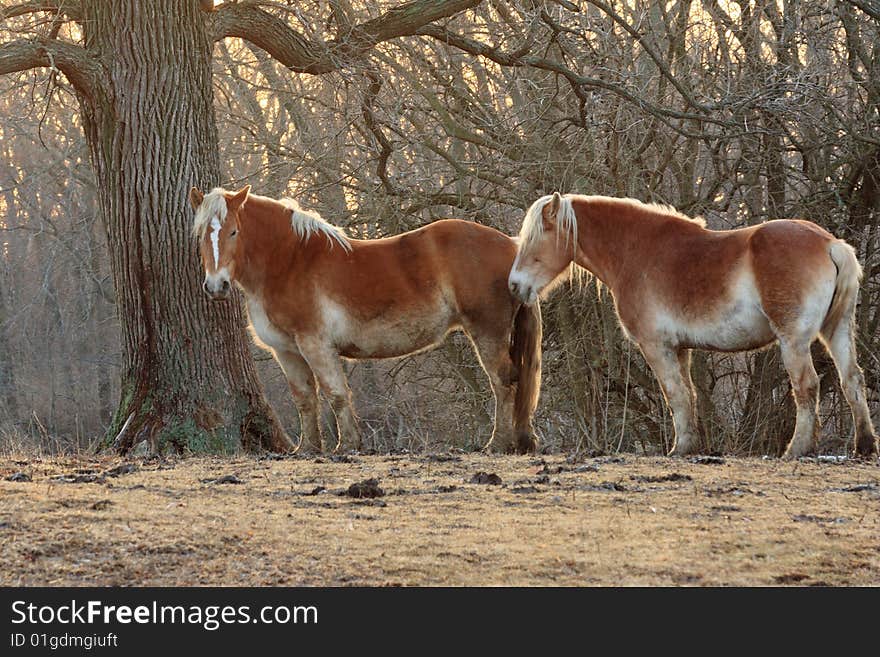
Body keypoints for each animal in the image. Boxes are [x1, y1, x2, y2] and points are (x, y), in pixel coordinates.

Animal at [189, 184, 540, 452]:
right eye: (201, 235)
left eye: (234, 231)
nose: (216, 286)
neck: (289, 262)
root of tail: (512, 246)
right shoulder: (287, 351)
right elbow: (305, 400)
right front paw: (307, 449)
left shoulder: (316, 345)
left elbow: (336, 395)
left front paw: (347, 446)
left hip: (487, 331)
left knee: (503, 382)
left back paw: (498, 444)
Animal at [506, 191, 876, 456]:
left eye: (535, 239)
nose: (514, 285)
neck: (636, 251)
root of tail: (830, 243)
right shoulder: (681, 349)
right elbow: (689, 395)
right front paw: (692, 445)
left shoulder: (657, 347)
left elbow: (675, 395)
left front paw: (679, 448)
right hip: (837, 331)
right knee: (852, 380)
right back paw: (865, 446)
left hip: (794, 341)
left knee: (807, 386)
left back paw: (797, 449)